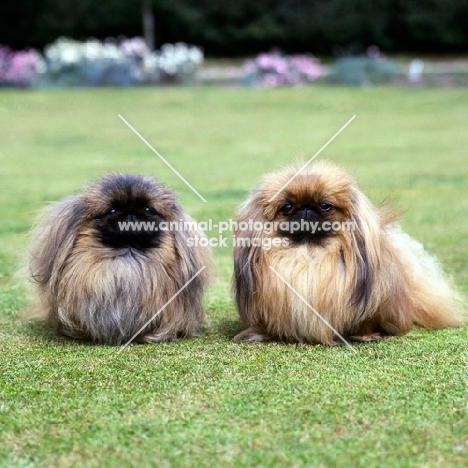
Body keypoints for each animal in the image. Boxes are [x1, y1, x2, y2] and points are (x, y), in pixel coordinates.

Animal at [233, 161, 464, 344]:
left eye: (325, 205)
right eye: (287, 207)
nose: (305, 209)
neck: (309, 253)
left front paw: (365, 335)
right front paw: (257, 335)